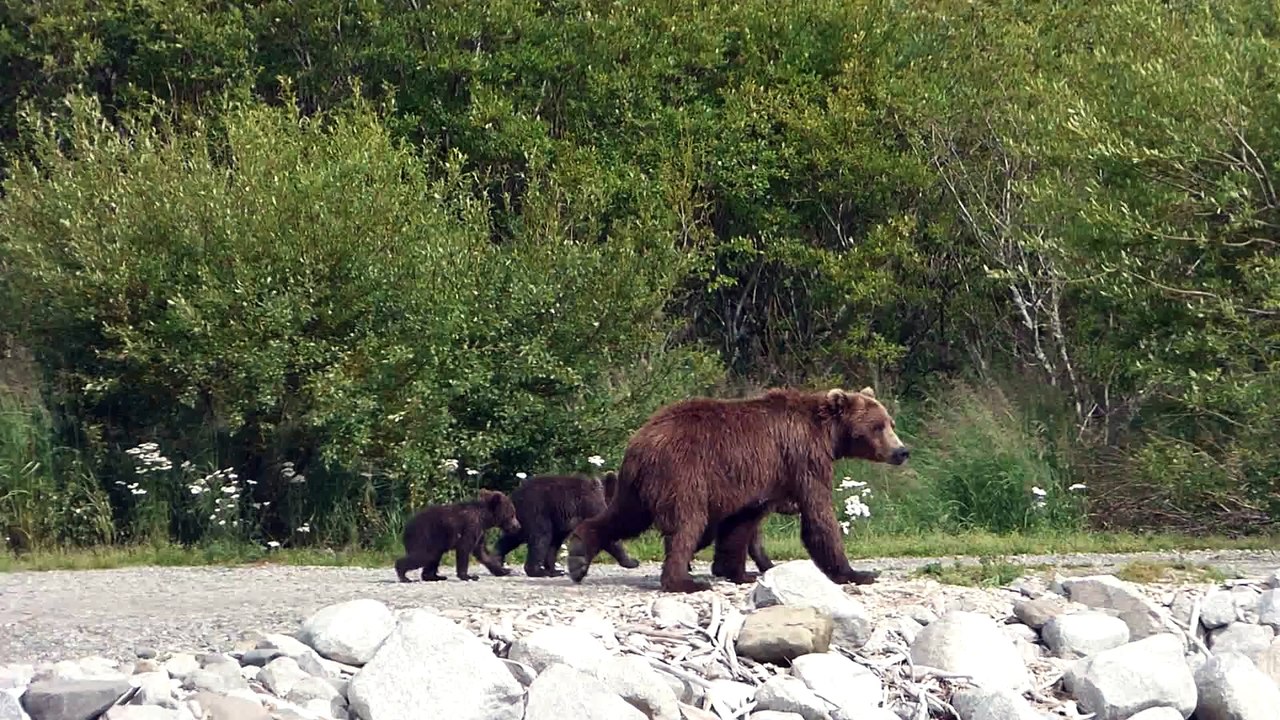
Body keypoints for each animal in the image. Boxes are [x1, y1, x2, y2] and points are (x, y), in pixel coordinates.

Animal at [394, 488, 522, 582]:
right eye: (512, 514)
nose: (518, 526)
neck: (484, 519)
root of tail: (406, 526)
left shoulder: (480, 532)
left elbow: (483, 553)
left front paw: (504, 570)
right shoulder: (470, 527)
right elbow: (464, 548)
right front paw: (469, 576)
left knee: (433, 557)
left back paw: (435, 576)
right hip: (423, 536)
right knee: (424, 556)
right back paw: (404, 576)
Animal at [493, 471, 641, 577]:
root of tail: (513, 497)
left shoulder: (562, 521)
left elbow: (554, 544)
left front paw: (554, 569)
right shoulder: (590, 505)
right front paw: (632, 562)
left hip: (519, 520)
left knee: (512, 538)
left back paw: (497, 563)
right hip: (536, 511)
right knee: (541, 537)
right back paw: (537, 571)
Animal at [566, 386, 909, 594]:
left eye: (890, 422)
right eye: (877, 426)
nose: (902, 451)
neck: (828, 436)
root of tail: (641, 441)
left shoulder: (761, 479)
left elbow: (741, 524)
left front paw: (740, 572)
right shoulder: (804, 459)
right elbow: (818, 515)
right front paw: (856, 572)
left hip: (638, 483)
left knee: (625, 516)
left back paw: (579, 553)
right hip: (683, 473)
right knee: (686, 522)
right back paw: (684, 581)